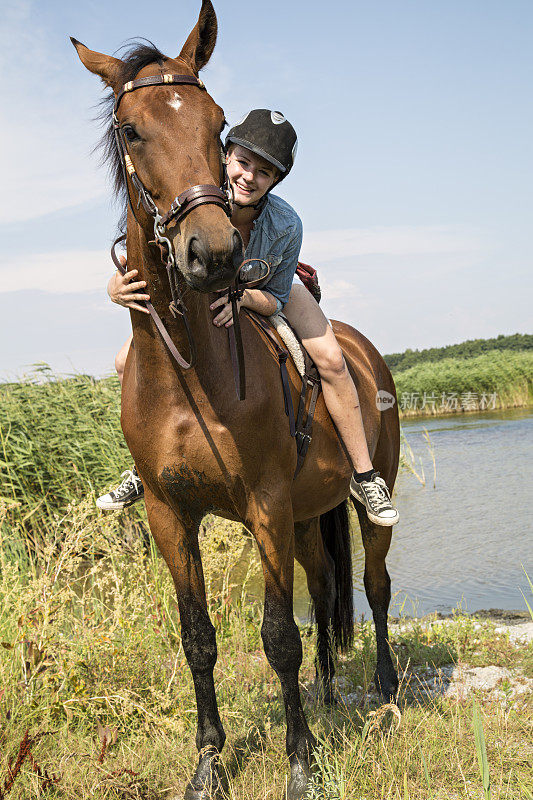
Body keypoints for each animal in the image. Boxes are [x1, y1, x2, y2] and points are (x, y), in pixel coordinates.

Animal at [74, 3, 400, 796]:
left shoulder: (265, 506)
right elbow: (199, 639)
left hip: (353, 502)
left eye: (217, 121)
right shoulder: (172, 515)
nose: (215, 254)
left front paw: (300, 761)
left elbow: (278, 636)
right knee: (327, 583)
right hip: (310, 516)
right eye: (132, 130)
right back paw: (327, 692)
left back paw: (380, 686)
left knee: (374, 587)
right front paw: (209, 763)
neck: (189, 376)